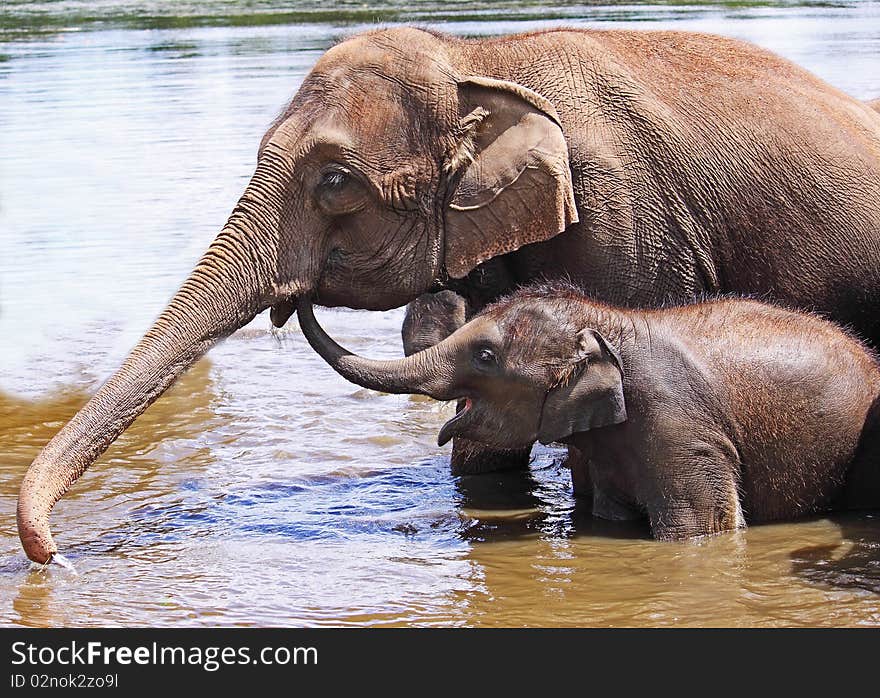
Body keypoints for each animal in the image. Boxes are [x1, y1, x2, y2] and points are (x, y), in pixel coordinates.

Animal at [300, 286, 880, 540]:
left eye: (485, 356)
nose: (299, 295)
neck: (609, 319)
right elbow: (610, 514)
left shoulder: (678, 427)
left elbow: (700, 530)